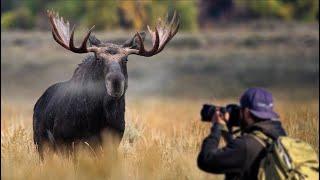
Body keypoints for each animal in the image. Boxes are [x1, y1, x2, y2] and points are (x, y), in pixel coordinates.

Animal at [33, 10, 179, 158]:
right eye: (98, 59)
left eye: (125, 59)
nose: (116, 82)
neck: (97, 118)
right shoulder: (66, 142)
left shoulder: (112, 142)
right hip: (41, 144)